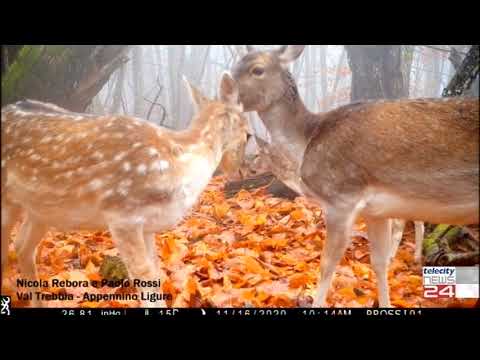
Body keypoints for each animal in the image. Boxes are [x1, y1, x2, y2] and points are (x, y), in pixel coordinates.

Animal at [0, 72, 248, 306]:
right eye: (248, 134)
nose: (240, 171)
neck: (178, 164)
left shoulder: (148, 226)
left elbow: (156, 272)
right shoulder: (123, 216)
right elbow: (144, 275)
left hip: (41, 210)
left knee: (22, 246)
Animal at [232, 45, 476, 306]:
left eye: (257, 69)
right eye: (236, 65)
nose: (222, 94)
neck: (307, 141)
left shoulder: (341, 197)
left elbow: (326, 265)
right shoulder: (376, 211)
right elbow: (378, 263)